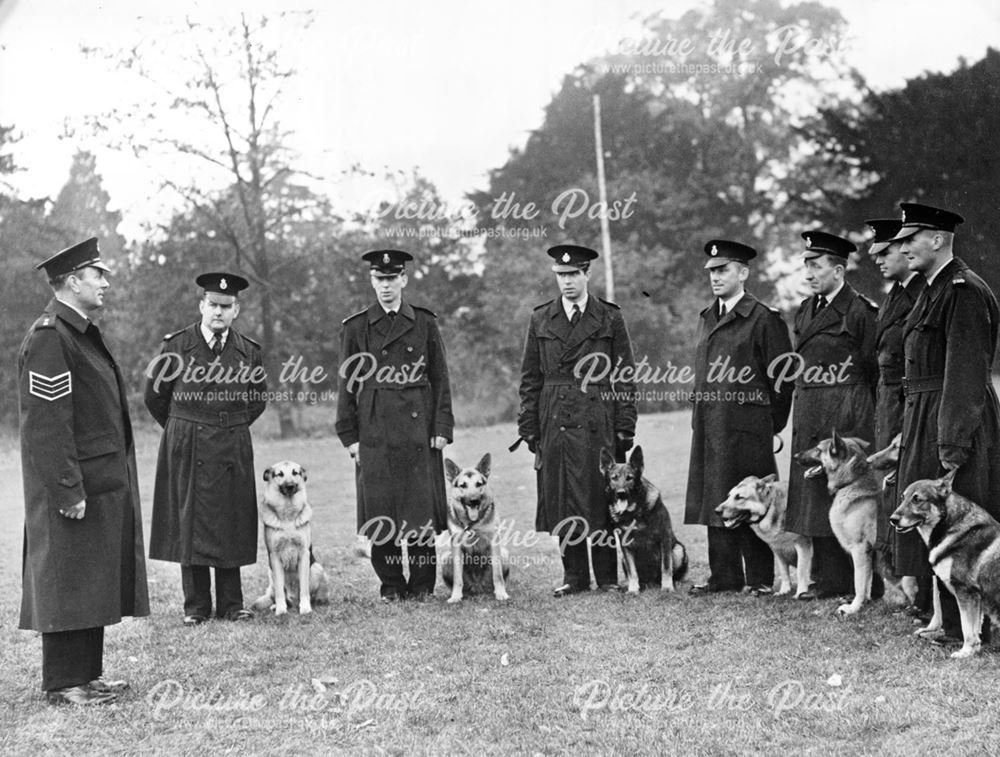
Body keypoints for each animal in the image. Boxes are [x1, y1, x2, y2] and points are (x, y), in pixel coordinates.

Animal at [252, 460, 330, 616]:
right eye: (279, 474)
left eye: (295, 472)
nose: (290, 486)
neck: (287, 512)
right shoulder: (274, 557)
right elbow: (279, 592)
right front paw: (281, 610)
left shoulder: (304, 554)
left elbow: (304, 589)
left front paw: (305, 608)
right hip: (270, 573)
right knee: (277, 594)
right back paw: (277, 606)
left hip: (316, 568)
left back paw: (317, 601)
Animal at [444, 448, 512, 604]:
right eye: (463, 486)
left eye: (479, 484)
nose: (474, 500)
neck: (472, 524)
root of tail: (477, 587)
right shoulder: (456, 546)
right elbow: (457, 577)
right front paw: (455, 596)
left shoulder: (494, 543)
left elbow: (497, 574)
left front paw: (501, 593)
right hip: (446, 557)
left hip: (504, 554)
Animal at [596, 446, 684, 592]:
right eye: (614, 478)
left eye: (629, 478)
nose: (621, 493)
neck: (634, 513)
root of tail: (652, 581)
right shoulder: (626, 546)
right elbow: (633, 572)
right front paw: (633, 589)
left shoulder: (664, 538)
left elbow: (666, 567)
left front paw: (667, 587)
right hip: (623, 559)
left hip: (678, 550)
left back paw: (674, 583)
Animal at [792, 432, 880, 616]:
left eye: (818, 449)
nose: (795, 456)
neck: (852, 482)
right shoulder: (869, 553)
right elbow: (867, 581)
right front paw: (864, 602)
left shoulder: (860, 549)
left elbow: (859, 582)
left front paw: (853, 607)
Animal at [892, 470, 1000, 660]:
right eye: (903, 498)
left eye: (917, 499)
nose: (893, 519)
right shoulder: (973, 596)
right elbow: (973, 627)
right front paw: (973, 649)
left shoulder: (965, 592)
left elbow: (966, 627)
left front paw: (965, 652)